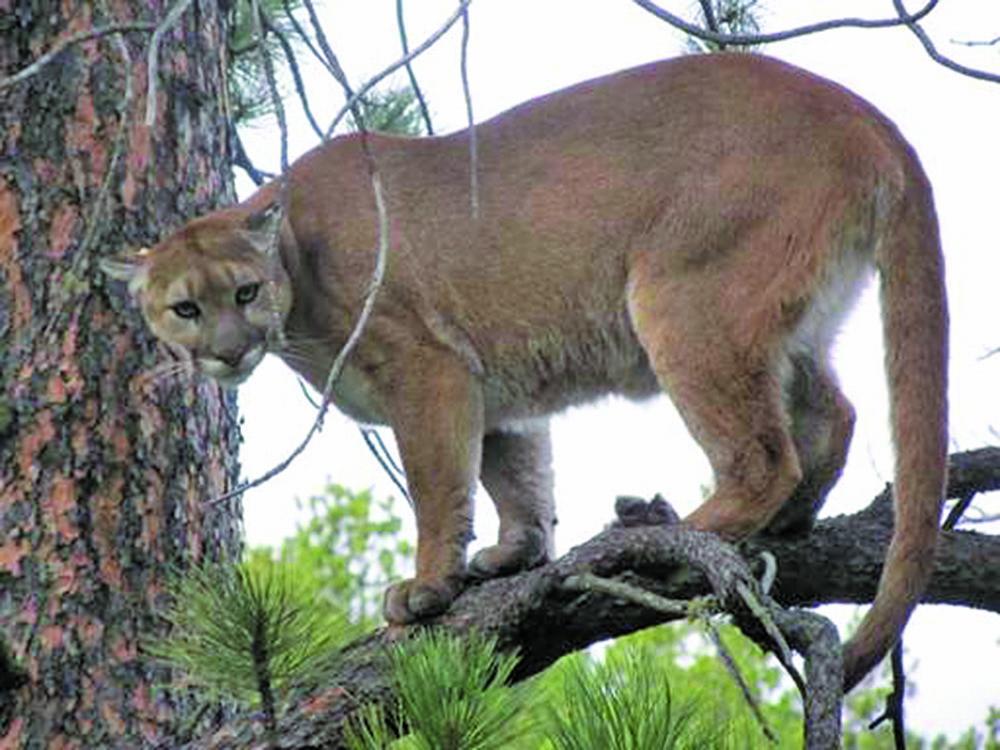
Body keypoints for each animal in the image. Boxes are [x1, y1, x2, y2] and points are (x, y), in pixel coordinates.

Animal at [101, 53, 944, 692]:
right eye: (185, 308)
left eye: (244, 292)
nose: (229, 350)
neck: (295, 270)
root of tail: (860, 110)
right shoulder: (493, 387)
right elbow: (517, 475)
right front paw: (515, 555)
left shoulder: (428, 370)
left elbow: (438, 489)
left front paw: (428, 588)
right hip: (786, 323)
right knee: (832, 418)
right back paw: (789, 519)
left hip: (687, 303)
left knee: (764, 453)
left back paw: (670, 537)